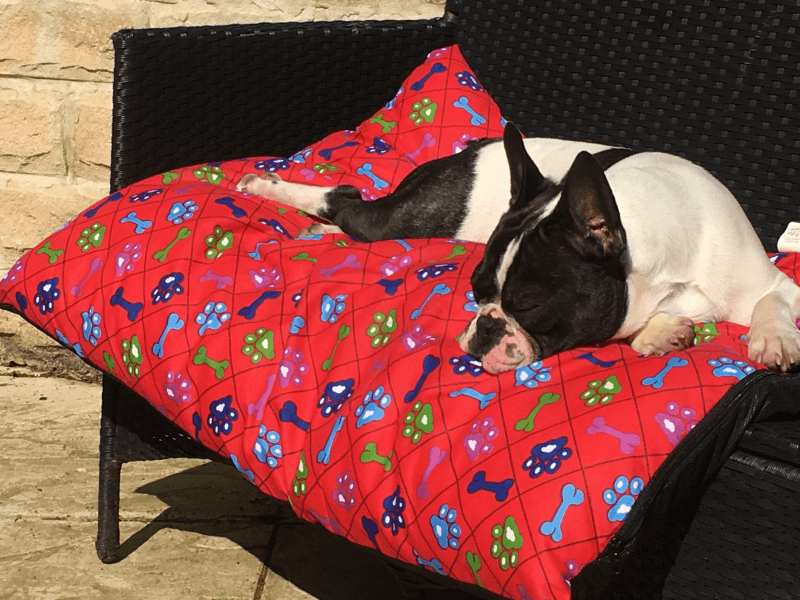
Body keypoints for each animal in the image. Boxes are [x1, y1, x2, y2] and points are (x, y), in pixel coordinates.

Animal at [236, 123, 800, 372]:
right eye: (475, 291)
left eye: (527, 305)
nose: (486, 325)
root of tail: (470, 150)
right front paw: (662, 332)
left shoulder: (771, 281)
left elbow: (772, 302)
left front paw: (771, 339)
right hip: (412, 215)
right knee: (347, 201)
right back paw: (264, 184)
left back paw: (315, 229)